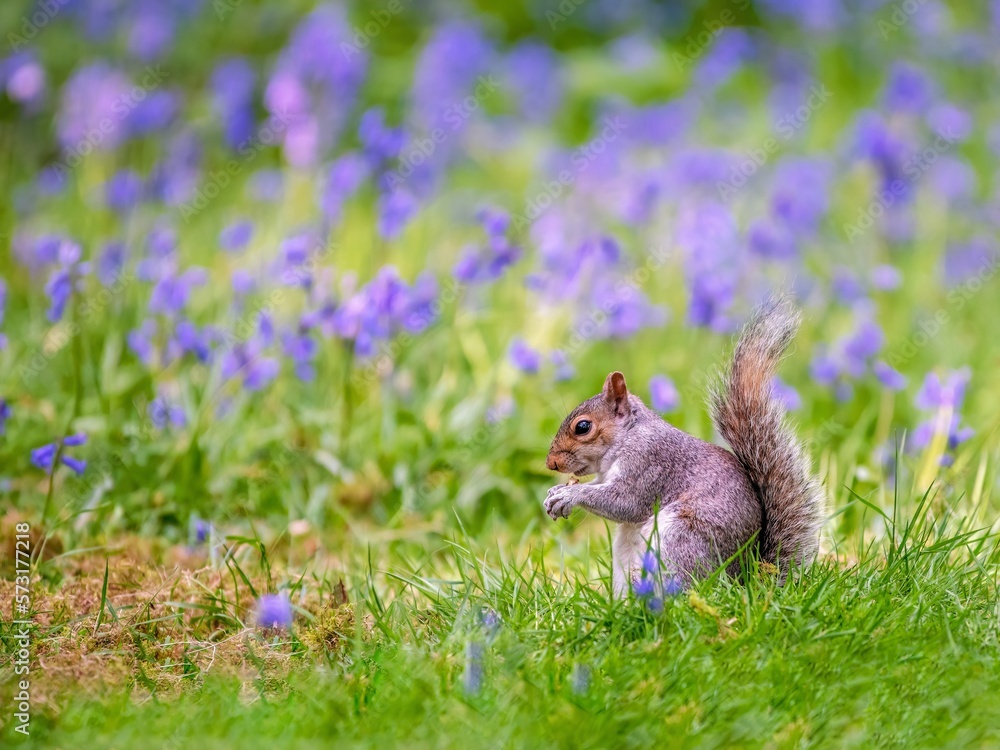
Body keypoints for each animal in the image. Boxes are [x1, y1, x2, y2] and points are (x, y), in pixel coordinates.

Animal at [543, 296, 823, 596]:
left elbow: (626, 502)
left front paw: (569, 495)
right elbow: (600, 488)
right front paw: (556, 491)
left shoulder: (650, 463)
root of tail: (742, 580)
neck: (629, 435)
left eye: (583, 427)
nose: (551, 463)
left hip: (679, 538)